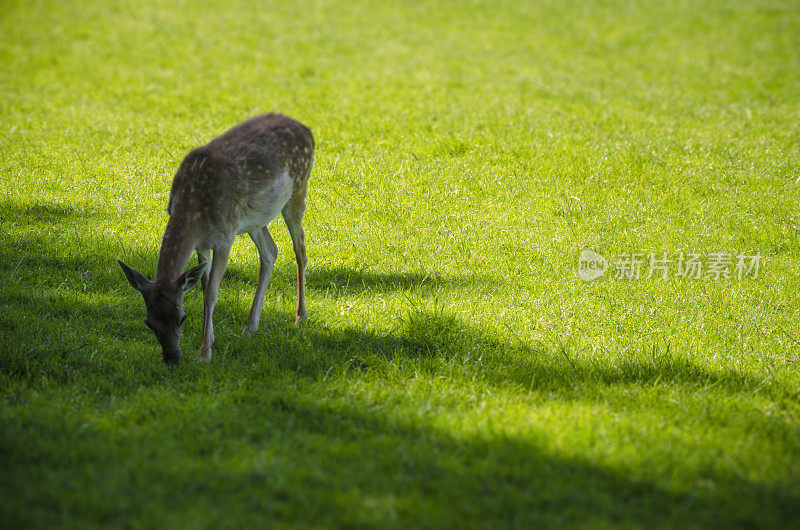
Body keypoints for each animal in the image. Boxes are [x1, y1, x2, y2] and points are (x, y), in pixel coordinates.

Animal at [119, 113, 312, 364]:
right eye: (148, 322)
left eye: (182, 317)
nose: (172, 358)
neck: (193, 208)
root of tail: (306, 128)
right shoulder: (202, 244)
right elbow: (203, 287)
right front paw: (209, 340)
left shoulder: (224, 237)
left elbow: (211, 293)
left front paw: (204, 353)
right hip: (254, 219)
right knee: (271, 251)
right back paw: (251, 326)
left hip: (298, 191)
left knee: (300, 250)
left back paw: (301, 317)